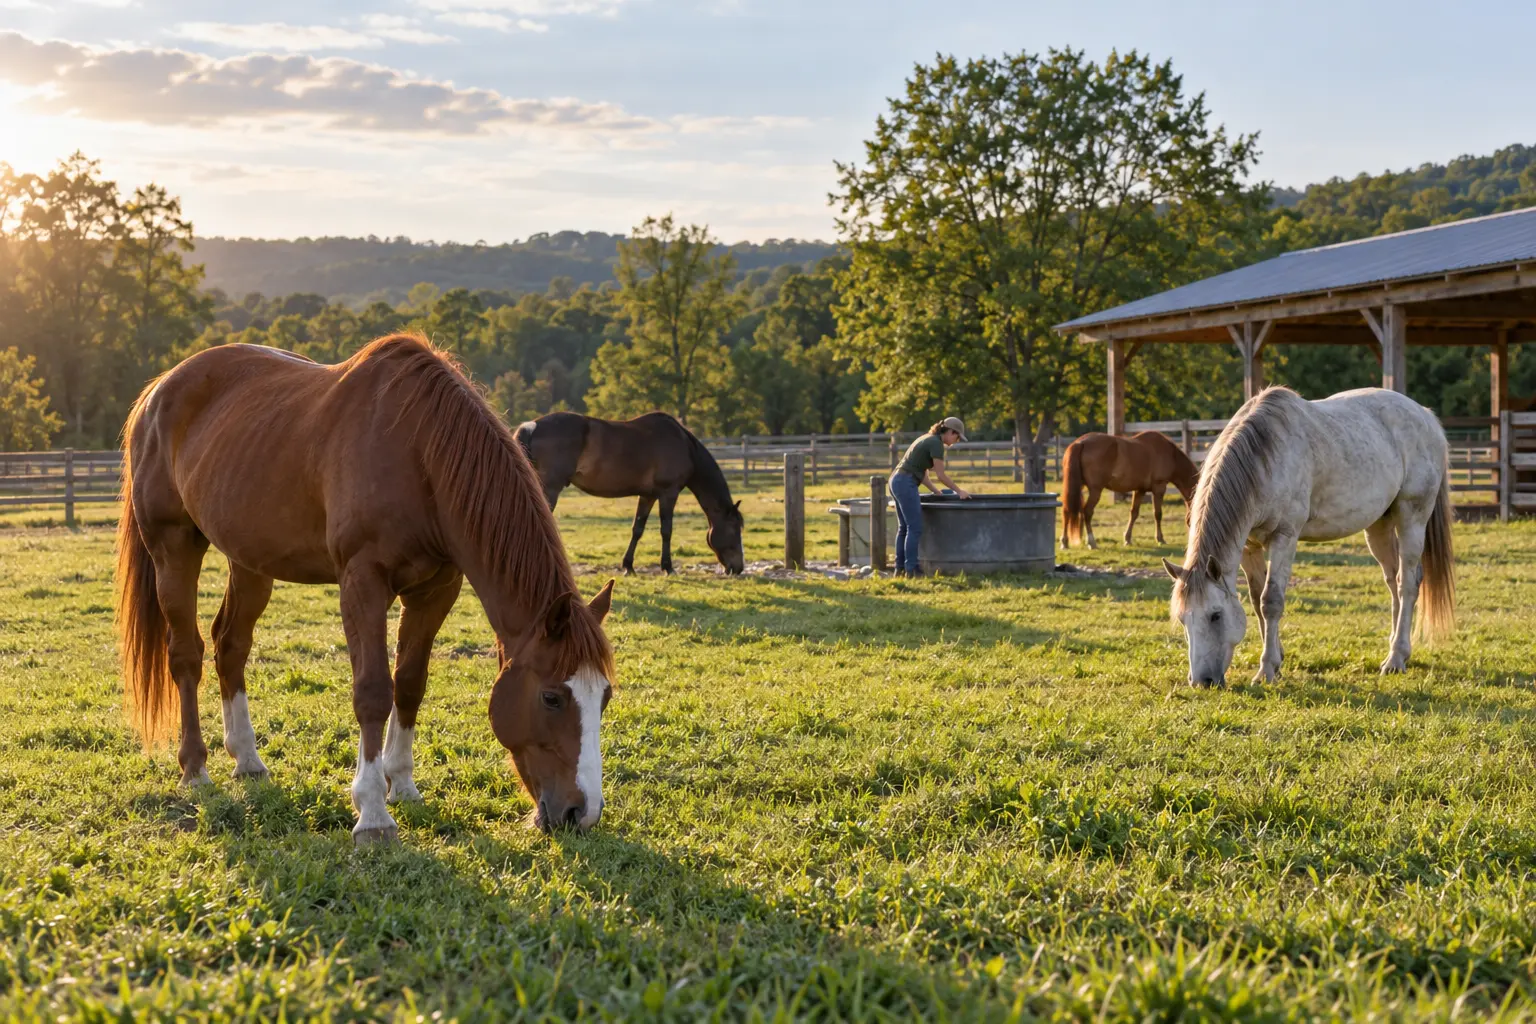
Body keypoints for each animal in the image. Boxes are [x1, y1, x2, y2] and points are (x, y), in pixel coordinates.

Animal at [116, 335, 617, 844]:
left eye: (605, 696)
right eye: (552, 697)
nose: (582, 813)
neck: (420, 452)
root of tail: (160, 389)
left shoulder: (436, 590)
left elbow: (410, 684)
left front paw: (403, 785)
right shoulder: (363, 582)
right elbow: (373, 690)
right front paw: (373, 813)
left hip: (250, 562)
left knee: (231, 645)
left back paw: (248, 759)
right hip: (174, 547)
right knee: (186, 653)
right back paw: (195, 768)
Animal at [515, 411, 745, 575]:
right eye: (735, 528)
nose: (738, 568)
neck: (685, 446)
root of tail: (533, 426)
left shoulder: (648, 495)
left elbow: (638, 529)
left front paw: (628, 566)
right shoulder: (668, 493)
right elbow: (666, 530)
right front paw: (668, 567)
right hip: (549, 489)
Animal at [1060, 431, 1200, 548]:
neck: (1170, 455)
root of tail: (1080, 443)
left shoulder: (1140, 490)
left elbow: (1134, 513)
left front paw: (1127, 539)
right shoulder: (1159, 488)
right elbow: (1158, 514)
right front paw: (1160, 539)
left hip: (1076, 487)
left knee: (1067, 510)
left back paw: (1064, 542)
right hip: (1095, 490)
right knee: (1087, 512)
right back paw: (1091, 542)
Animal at [1163, 386, 1454, 687]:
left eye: (1216, 615)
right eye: (1183, 619)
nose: (1202, 681)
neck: (1264, 458)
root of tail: (1425, 415)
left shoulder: (1285, 536)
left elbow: (1271, 601)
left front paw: (1267, 669)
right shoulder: (1248, 547)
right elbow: (1256, 600)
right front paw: (1277, 659)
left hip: (1412, 517)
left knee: (1406, 583)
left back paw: (1396, 659)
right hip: (1379, 526)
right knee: (1393, 581)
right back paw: (1396, 651)